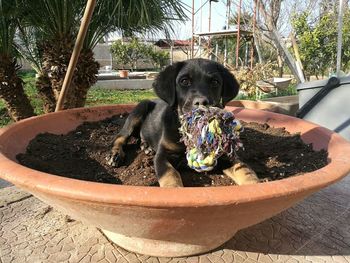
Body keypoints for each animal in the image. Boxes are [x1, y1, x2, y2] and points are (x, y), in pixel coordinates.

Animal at [109, 59, 260, 188]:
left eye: (215, 82)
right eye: (184, 81)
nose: (202, 103)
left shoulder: (225, 154)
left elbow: (245, 170)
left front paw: (254, 187)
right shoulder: (163, 155)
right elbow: (170, 174)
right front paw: (173, 189)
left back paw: (146, 147)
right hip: (139, 109)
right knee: (120, 137)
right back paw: (115, 155)